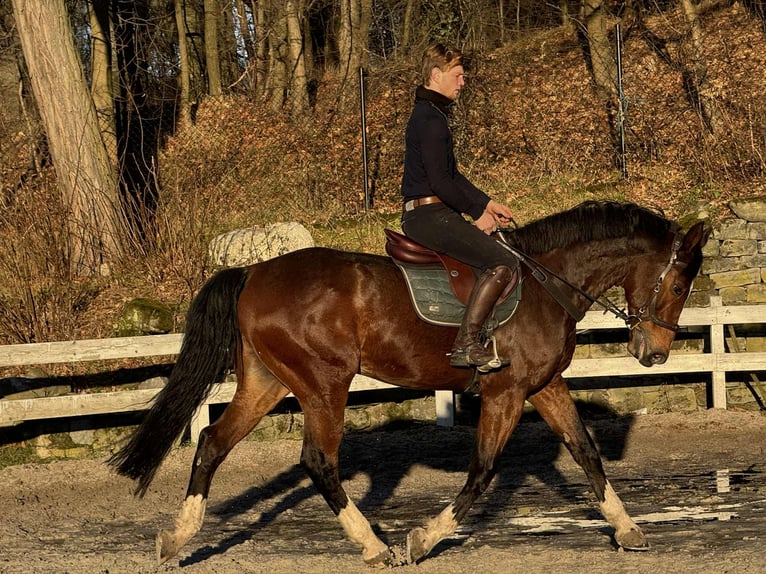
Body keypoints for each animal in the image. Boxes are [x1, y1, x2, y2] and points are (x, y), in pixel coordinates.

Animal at [109, 201, 709, 566]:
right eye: (680, 284)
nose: (654, 353)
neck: (546, 283)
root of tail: (254, 272)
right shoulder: (507, 393)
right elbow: (484, 469)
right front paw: (424, 538)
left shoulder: (544, 387)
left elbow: (585, 453)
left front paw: (626, 529)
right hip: (325, 384)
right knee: (318, 461)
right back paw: (374, 546)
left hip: (266, 383)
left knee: (212, 443)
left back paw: (176, 539)